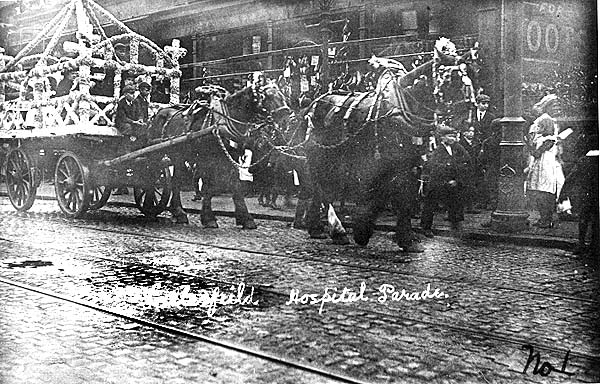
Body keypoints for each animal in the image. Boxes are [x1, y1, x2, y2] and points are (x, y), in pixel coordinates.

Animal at [149, 83, 292, 226]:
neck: (222, 122)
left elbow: (235, 183)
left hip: (178, 156)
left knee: (176, 180)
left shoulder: (232, 156)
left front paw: (246, 218)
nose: (285, 117)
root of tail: (158, 113)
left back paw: (179, 212)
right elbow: (208, 185)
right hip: (159, 153)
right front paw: (208, 218)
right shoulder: (207, 158)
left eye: (282, 95)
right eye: (266, 96)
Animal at [304, 43, 478, 252]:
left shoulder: (411, 164)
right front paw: (364, 230)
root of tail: (315, 102)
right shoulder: (385, 163)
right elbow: (386, 195)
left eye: (471, 78)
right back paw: (337, 230)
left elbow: (405, 197)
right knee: (321, 187)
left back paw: (316, 228)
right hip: (319, 155)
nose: (468, 120)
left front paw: (405, 238)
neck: (403, 106)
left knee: (321, 188)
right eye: (452, 79)